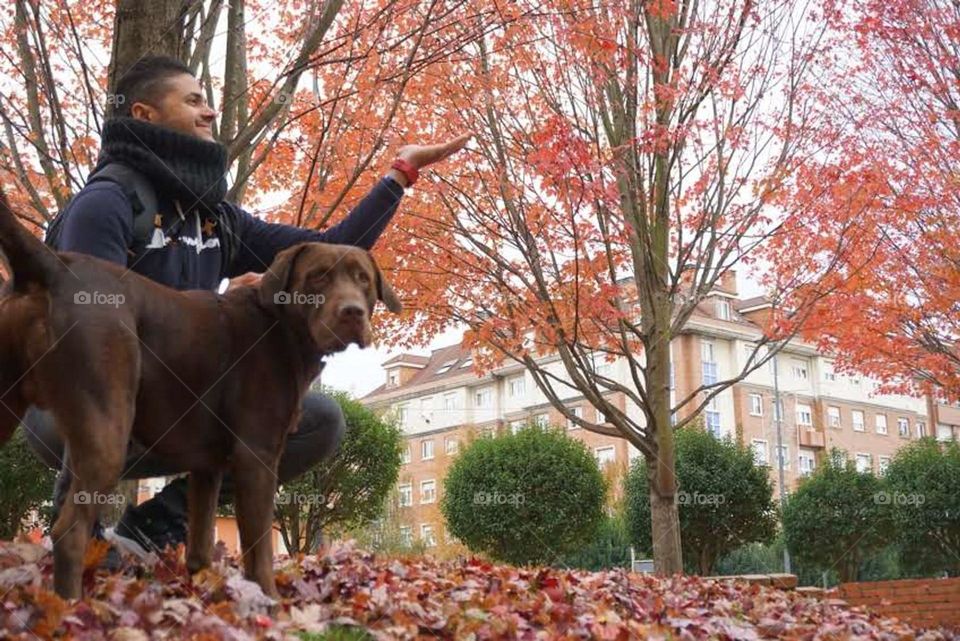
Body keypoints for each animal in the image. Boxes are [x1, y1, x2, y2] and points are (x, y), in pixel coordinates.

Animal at [0, 191, 402, 600]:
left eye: (363, 279)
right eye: (319, 275)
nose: (352, 313)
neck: (281, 326)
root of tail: (54, 266)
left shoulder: (207, 466)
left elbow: (201, 545)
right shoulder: (256, 455)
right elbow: (258, 547)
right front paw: (269, 600)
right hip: (107, 432)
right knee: (69, 532)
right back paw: (70, 603)